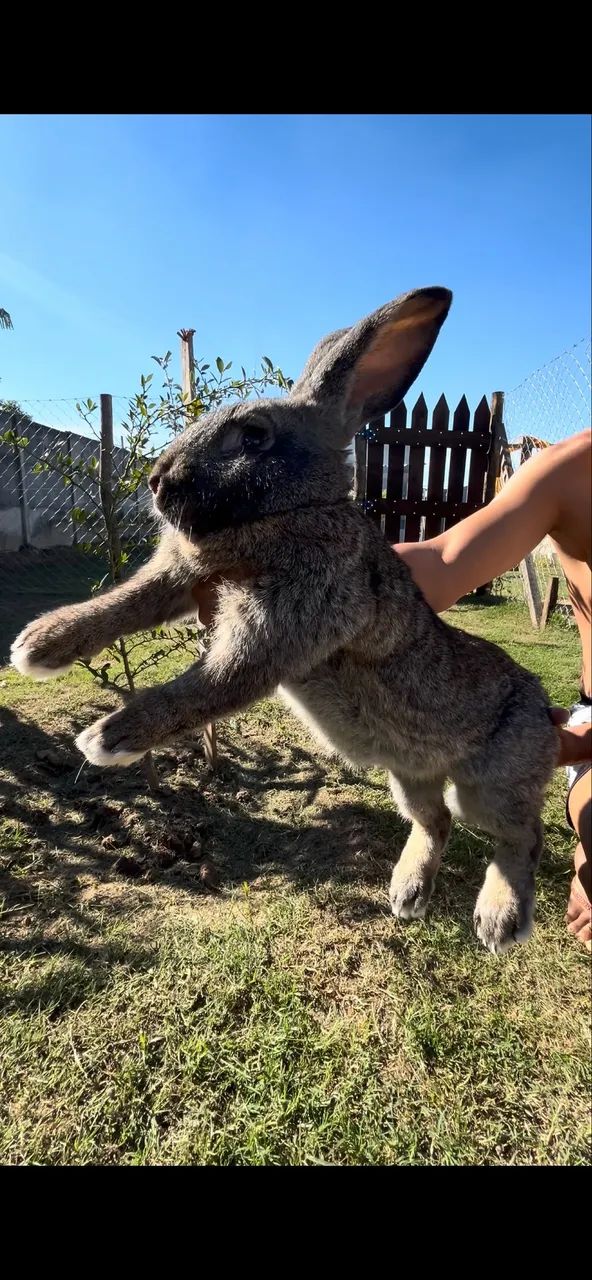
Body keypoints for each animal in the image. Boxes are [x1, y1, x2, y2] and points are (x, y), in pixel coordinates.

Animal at [10, 287, 558, 954]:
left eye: (252, 437)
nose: (157, 481)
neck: (289, 513)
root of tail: (544, 709)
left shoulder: (275, 632)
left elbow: (202, 687)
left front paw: (107, 738)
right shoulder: (180, 580)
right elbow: (121, 605)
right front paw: (38, 646)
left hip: (492, 782)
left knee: (521, 835)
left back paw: (500, 918)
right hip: (408, 775)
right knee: (437, 821)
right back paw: (406, 894)